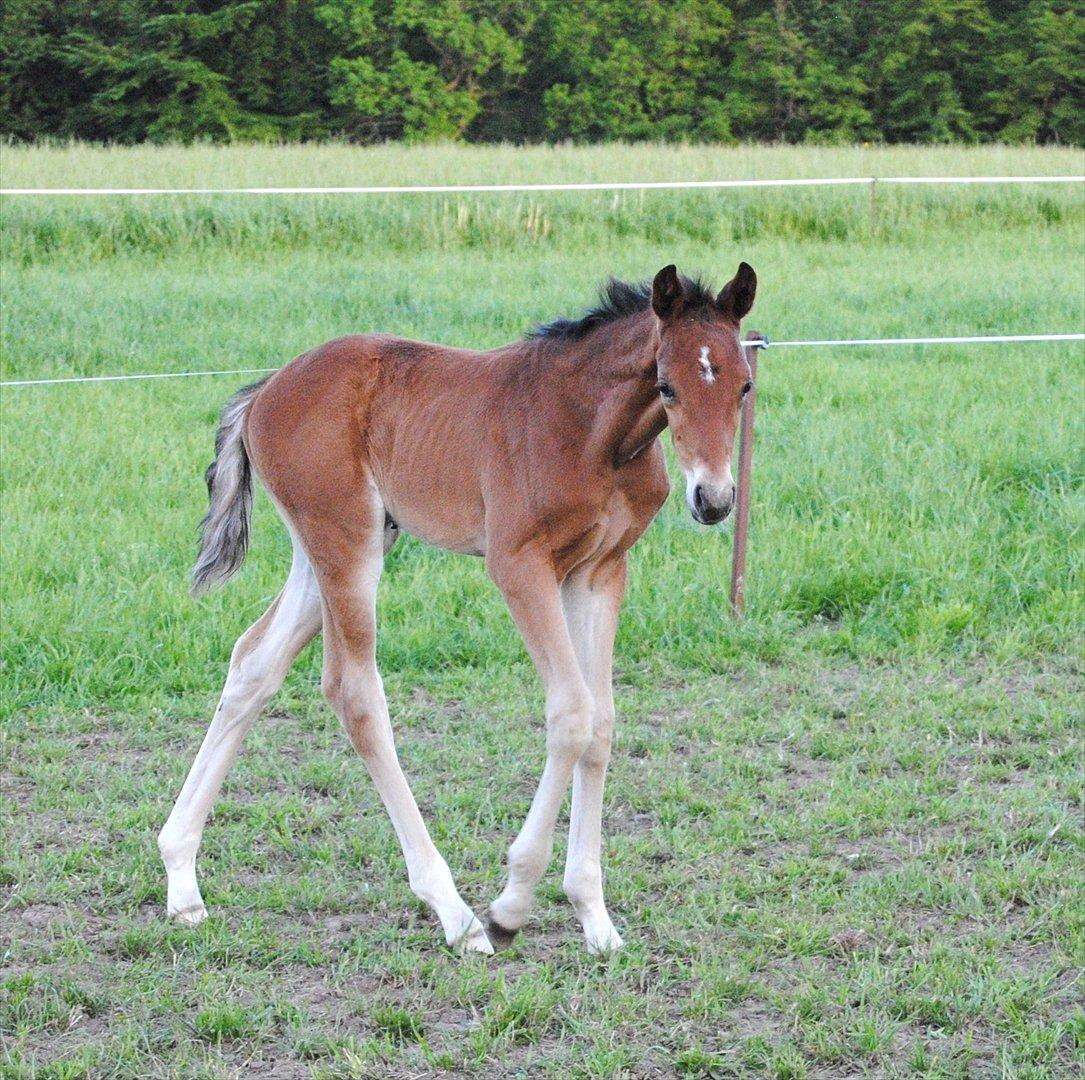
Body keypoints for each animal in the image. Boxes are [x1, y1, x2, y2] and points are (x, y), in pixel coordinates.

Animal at [158, 261, 755, 955]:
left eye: (744, 385)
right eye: (667, 386)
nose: (713, 499)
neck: (590, 431)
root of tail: (265, 391)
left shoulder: (600, 571)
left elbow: (602, 722)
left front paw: (595, 917)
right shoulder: (520, 566)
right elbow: (572, 714)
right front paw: (513, 903)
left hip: (330, 551)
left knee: (254, 662)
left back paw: (181, 880)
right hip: (347, 544)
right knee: (354, 693)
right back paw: (457, 914)